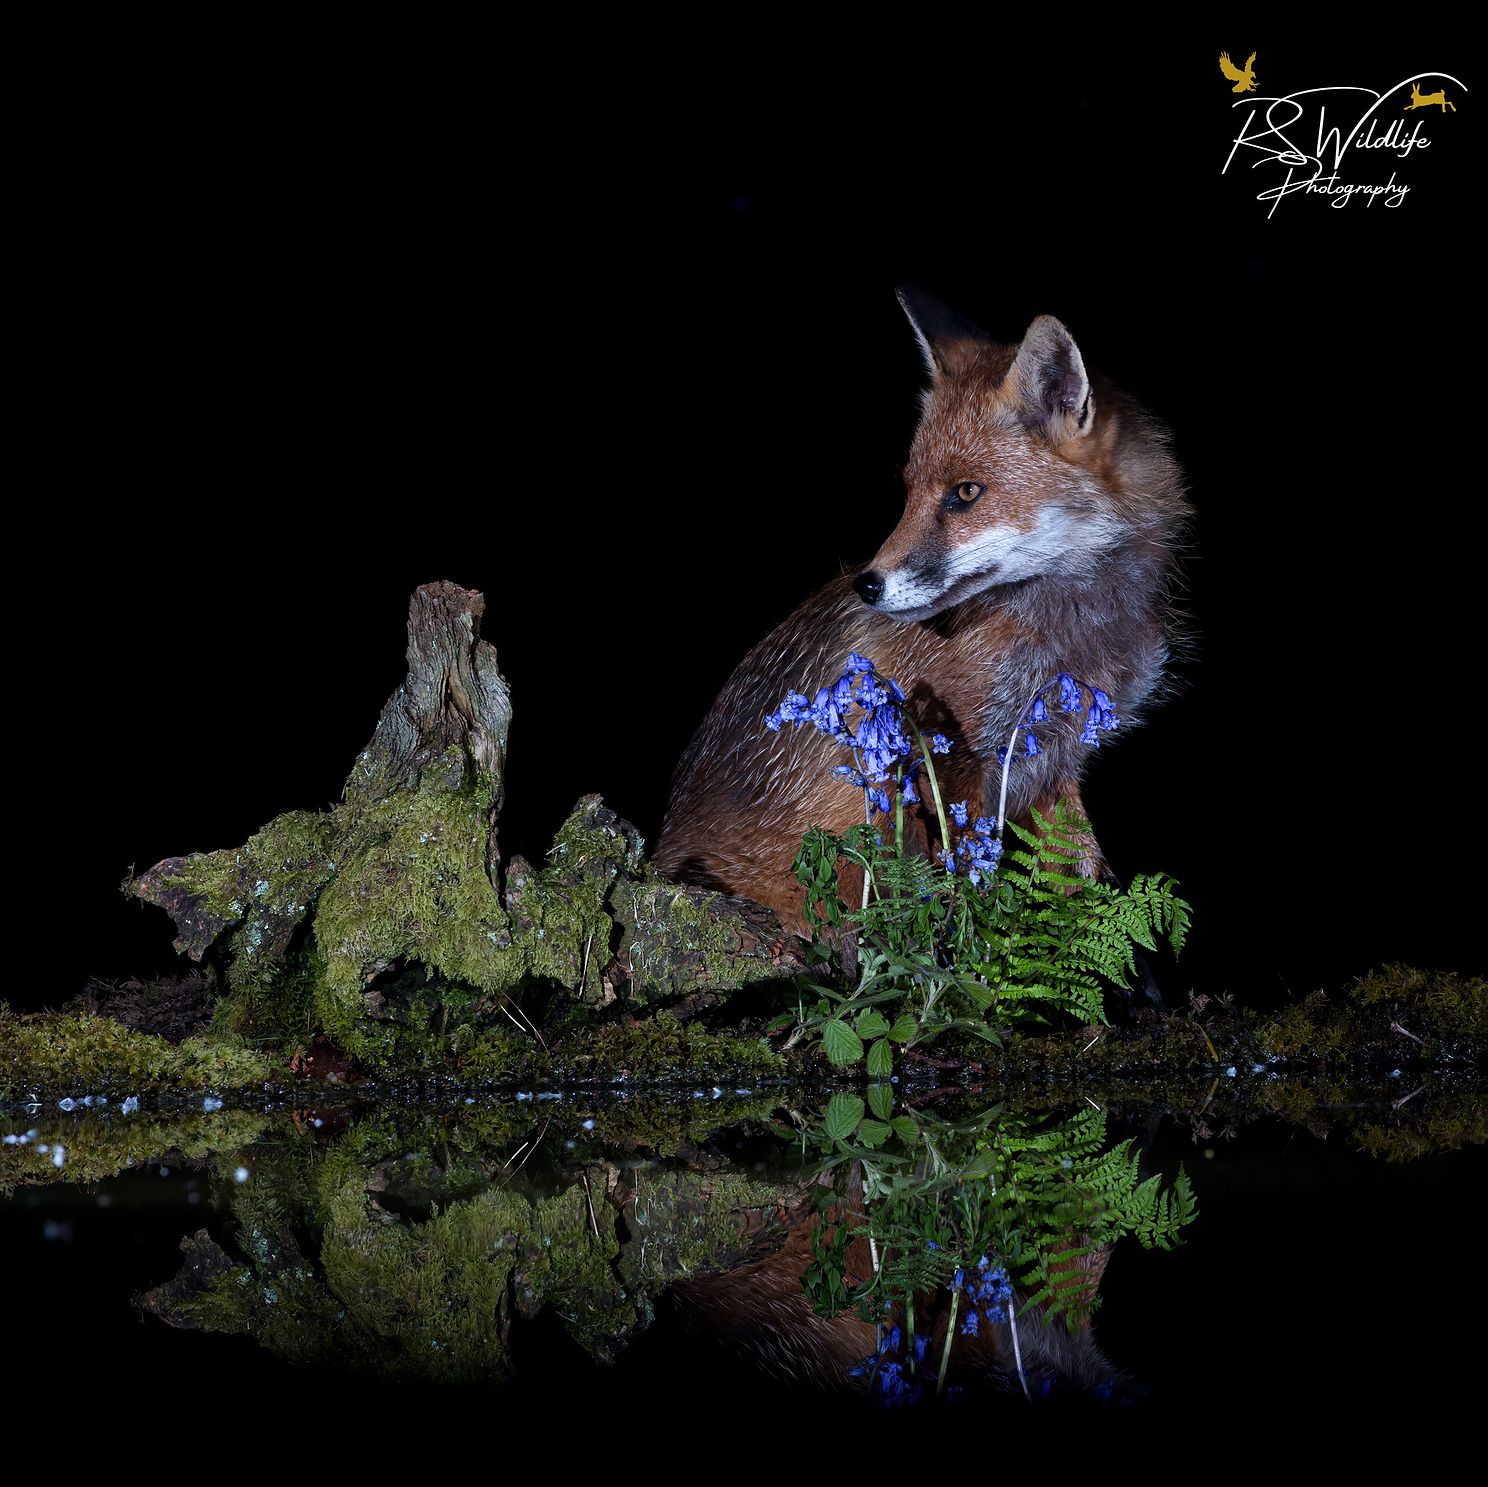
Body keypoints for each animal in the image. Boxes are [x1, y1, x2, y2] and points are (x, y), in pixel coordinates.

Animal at [654, 287, 1189, 944]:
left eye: (965, 493)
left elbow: (1073, 878)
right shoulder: (951, 753)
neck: (1072, 633)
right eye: (908, 492)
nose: (865, 585)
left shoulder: (1059, 758)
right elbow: (970, 885)